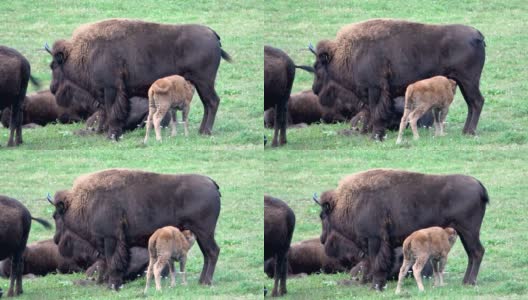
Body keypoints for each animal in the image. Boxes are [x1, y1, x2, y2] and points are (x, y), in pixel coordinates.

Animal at [46, 18, 232, 140]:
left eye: (54, 65)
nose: (52, 88)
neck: (85, 52)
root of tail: (213, 35)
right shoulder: (106, 92)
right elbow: (105, 111)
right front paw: (103, 132)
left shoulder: (111, 89)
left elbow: (111, 111)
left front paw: (111, 135)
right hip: (199, 83)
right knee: (209, 103)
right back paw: (201, 131)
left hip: (204, 82)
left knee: (212, 102)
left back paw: (205, 132)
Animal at [49, 169, 221, 288]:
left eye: (56, 215)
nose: (56, 239)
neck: (85, 202)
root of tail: (211, 183)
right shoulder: (105, 243)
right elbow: (105, 262)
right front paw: (105, 283)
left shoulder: (111, 239)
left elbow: (112, 262)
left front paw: (112, 285)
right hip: (200, 234)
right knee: (207, 254)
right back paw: (201, 281)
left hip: (204, 232)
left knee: (212, 252)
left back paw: (206, 282)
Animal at [310, 18, 486, 141]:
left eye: (317, 66)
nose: (315, 89)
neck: (350, 52)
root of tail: (478, 35)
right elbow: (370, 112)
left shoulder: (375, 90)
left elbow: (375, 112)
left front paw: (375, 136)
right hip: (463, 82)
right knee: (472, 103)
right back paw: (465, 131)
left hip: (469, 81)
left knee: (477, 102)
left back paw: (470, 131)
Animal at [316, 170, 488, 292]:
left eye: (322, 215)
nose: (322, 239)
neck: (350, 202)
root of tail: (478, 185)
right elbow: (371, 262)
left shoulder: (375, 240)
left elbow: (376, 262)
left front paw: (375, 286)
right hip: (464, 233)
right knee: (472, 254)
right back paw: (465, 281)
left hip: (469, 231)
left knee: (477, 252)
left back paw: (470, 282)